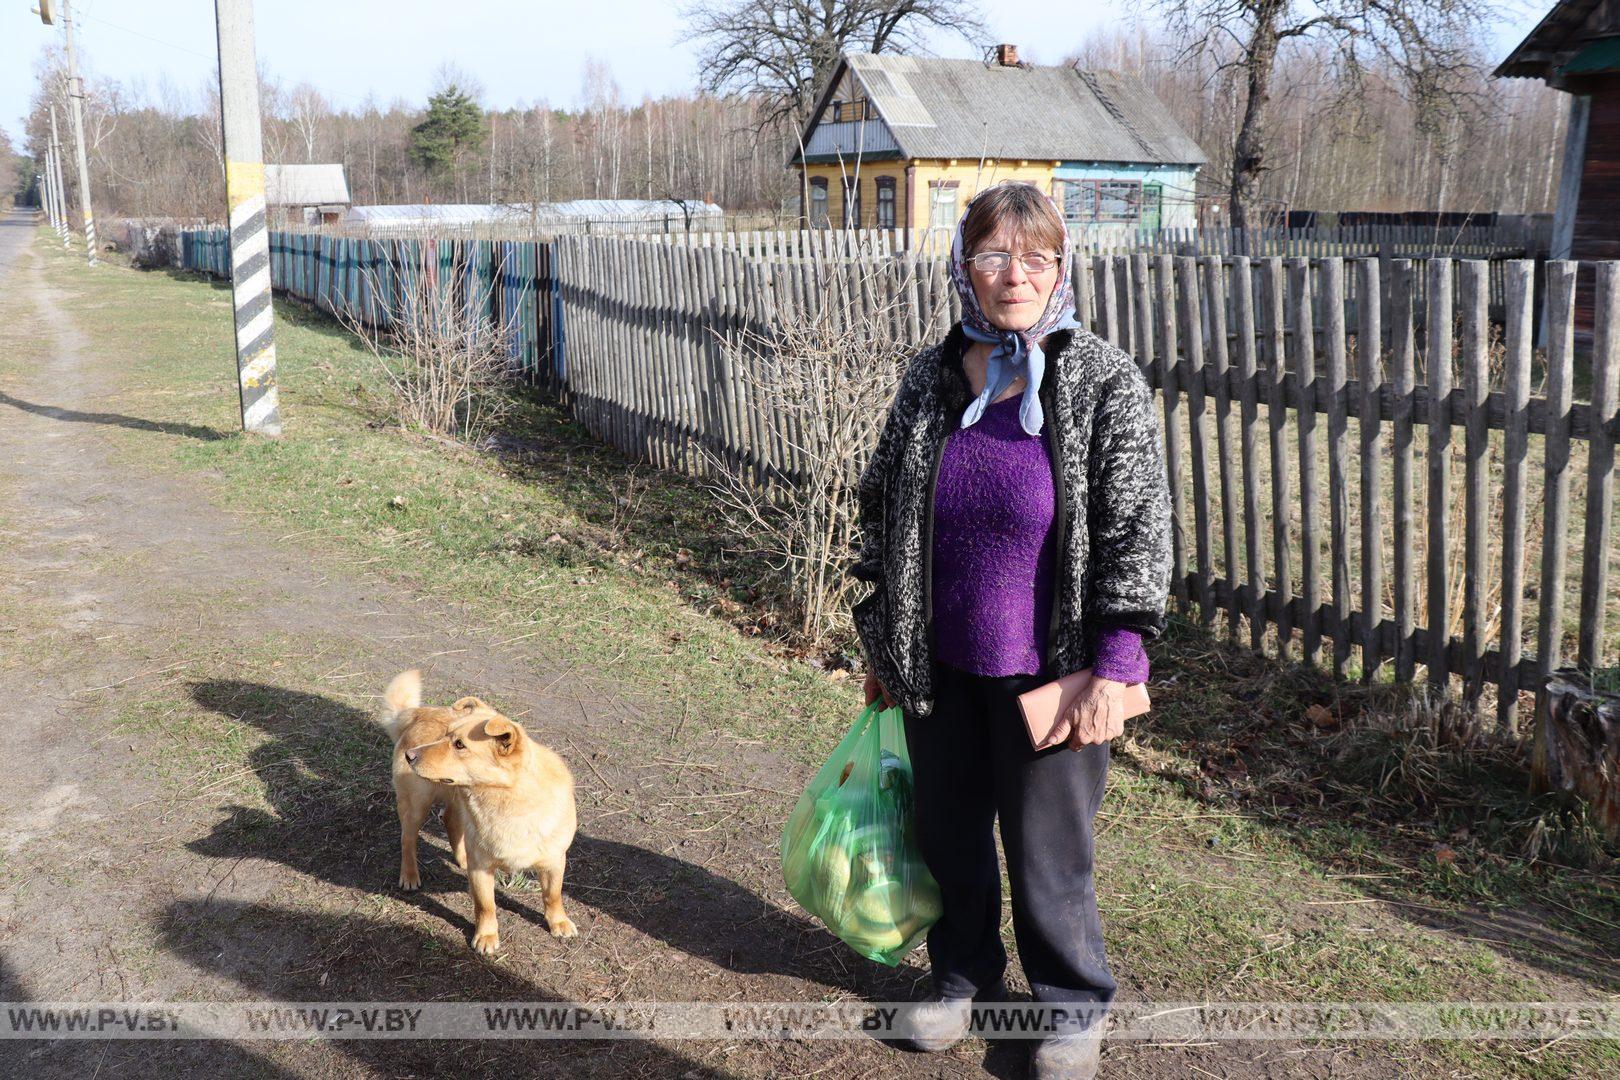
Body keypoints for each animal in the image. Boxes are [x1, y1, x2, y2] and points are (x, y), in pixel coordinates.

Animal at [382, 667, 579, 952]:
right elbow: (486, 905)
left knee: (450, 819)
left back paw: (461, 857)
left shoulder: (554, 860)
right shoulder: (482, 869)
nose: (411, 756)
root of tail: (419, 713)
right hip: (416, 804)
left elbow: (552, 895)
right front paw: (486, 937)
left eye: (460, 744)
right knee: (407, 839)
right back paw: (409, 875)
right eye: (445, 735)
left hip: (453, 800)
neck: (510, 803)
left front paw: (558, 922)